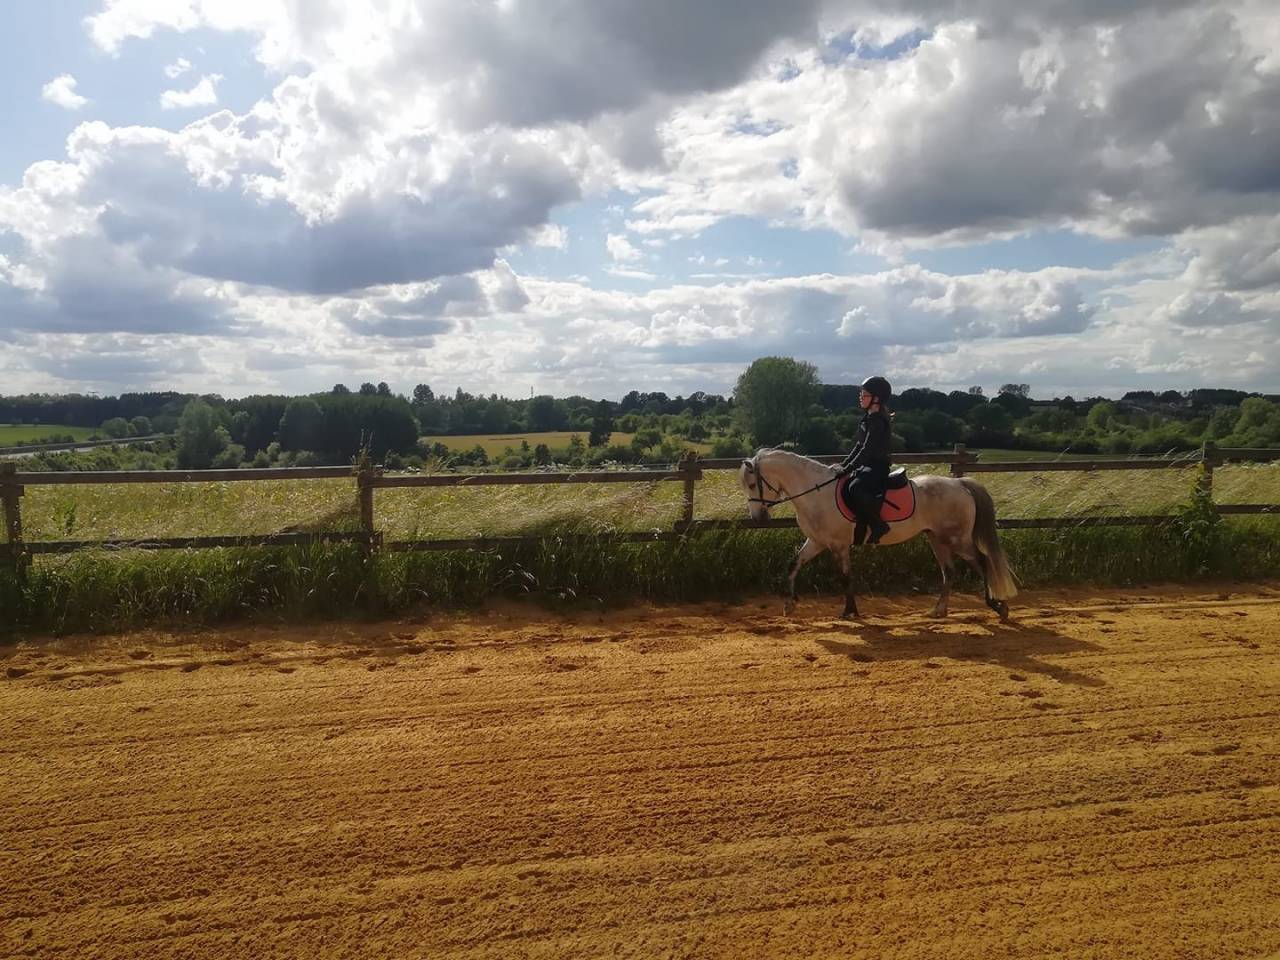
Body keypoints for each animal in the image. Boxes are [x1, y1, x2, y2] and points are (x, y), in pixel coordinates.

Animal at [739, 448, 1018, 621]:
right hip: (936, 538)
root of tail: (960, 483)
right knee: (949, 571)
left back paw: (999, 606)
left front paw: (849, 611)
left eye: (753, 484)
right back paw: (939, 610)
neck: (816, 493)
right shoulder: (817, 541)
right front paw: (790, 604)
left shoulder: (838, 545)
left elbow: (845, 577)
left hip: (957, 539)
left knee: (983, 562)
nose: (758, 518)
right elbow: (794, 564)